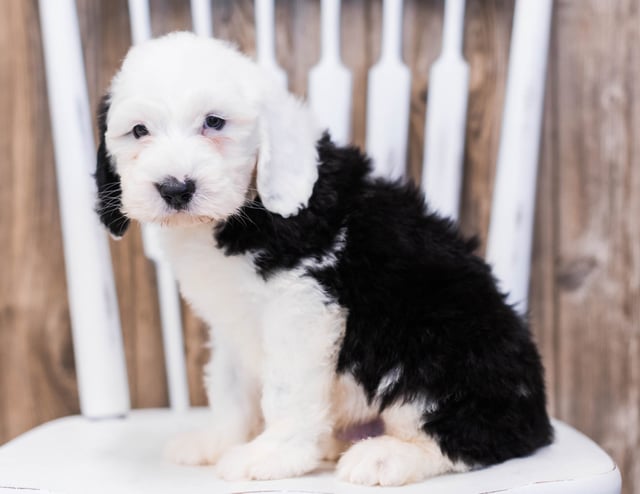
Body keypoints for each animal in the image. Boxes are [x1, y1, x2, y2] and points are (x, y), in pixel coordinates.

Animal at [95, 31, 556, 486]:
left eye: (215, 122)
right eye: (138, 131)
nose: (175, 188)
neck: (242, 212)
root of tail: (538, 409)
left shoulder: (301, 303)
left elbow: (285, 388)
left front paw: (272, 455)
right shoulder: (228, 316)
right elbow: (227, 384)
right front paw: (218, 440)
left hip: (439, 347)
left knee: (478, 435)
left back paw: (385, 456)